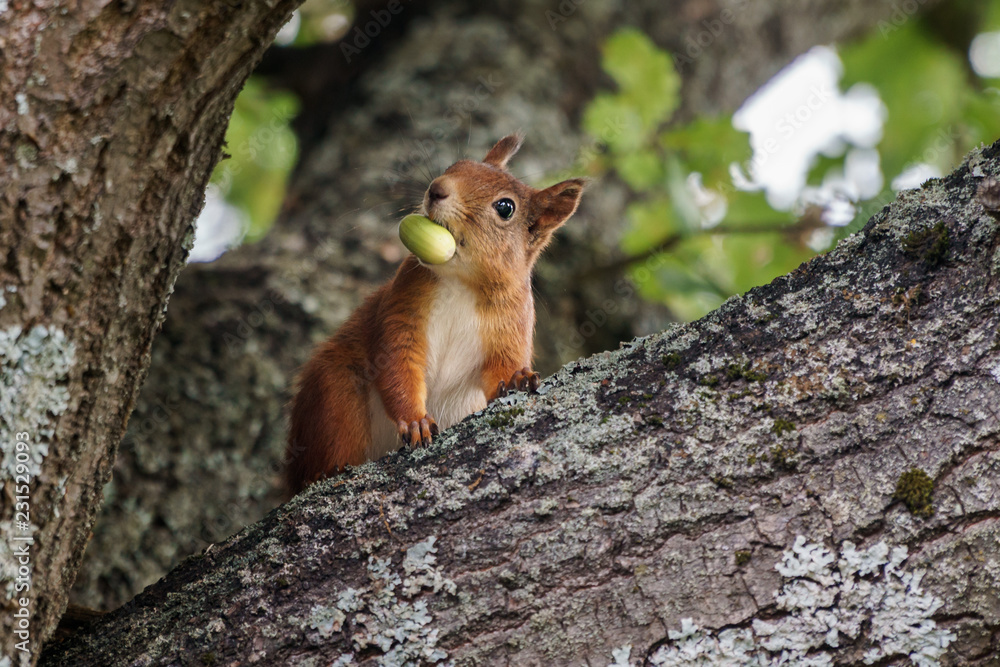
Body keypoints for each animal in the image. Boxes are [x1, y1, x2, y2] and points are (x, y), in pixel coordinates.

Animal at [285, 134, 585, 494]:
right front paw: (415, 421)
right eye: (456, 165)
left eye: (505, 208)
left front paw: (518, 379)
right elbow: (397, 365)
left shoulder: (512, 324)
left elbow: (499, 369)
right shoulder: (403, 307)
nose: (436, 188)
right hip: (335, 399)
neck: (461, 282)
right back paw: (324, 473)